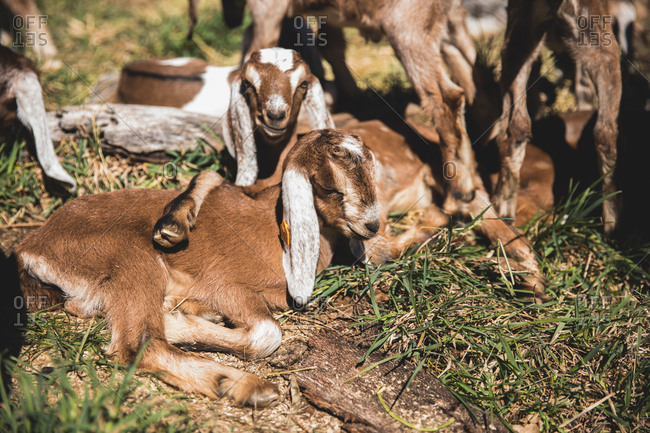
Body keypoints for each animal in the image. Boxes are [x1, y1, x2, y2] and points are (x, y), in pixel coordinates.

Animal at [16, 129, 380, 407]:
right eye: (330, 188)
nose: (372, 226)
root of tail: (32, 247)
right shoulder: (225, 284)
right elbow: (268, 333)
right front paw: (177, 322)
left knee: (84, 309)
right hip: (132, 257)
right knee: (139, 344)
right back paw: (243, 385)